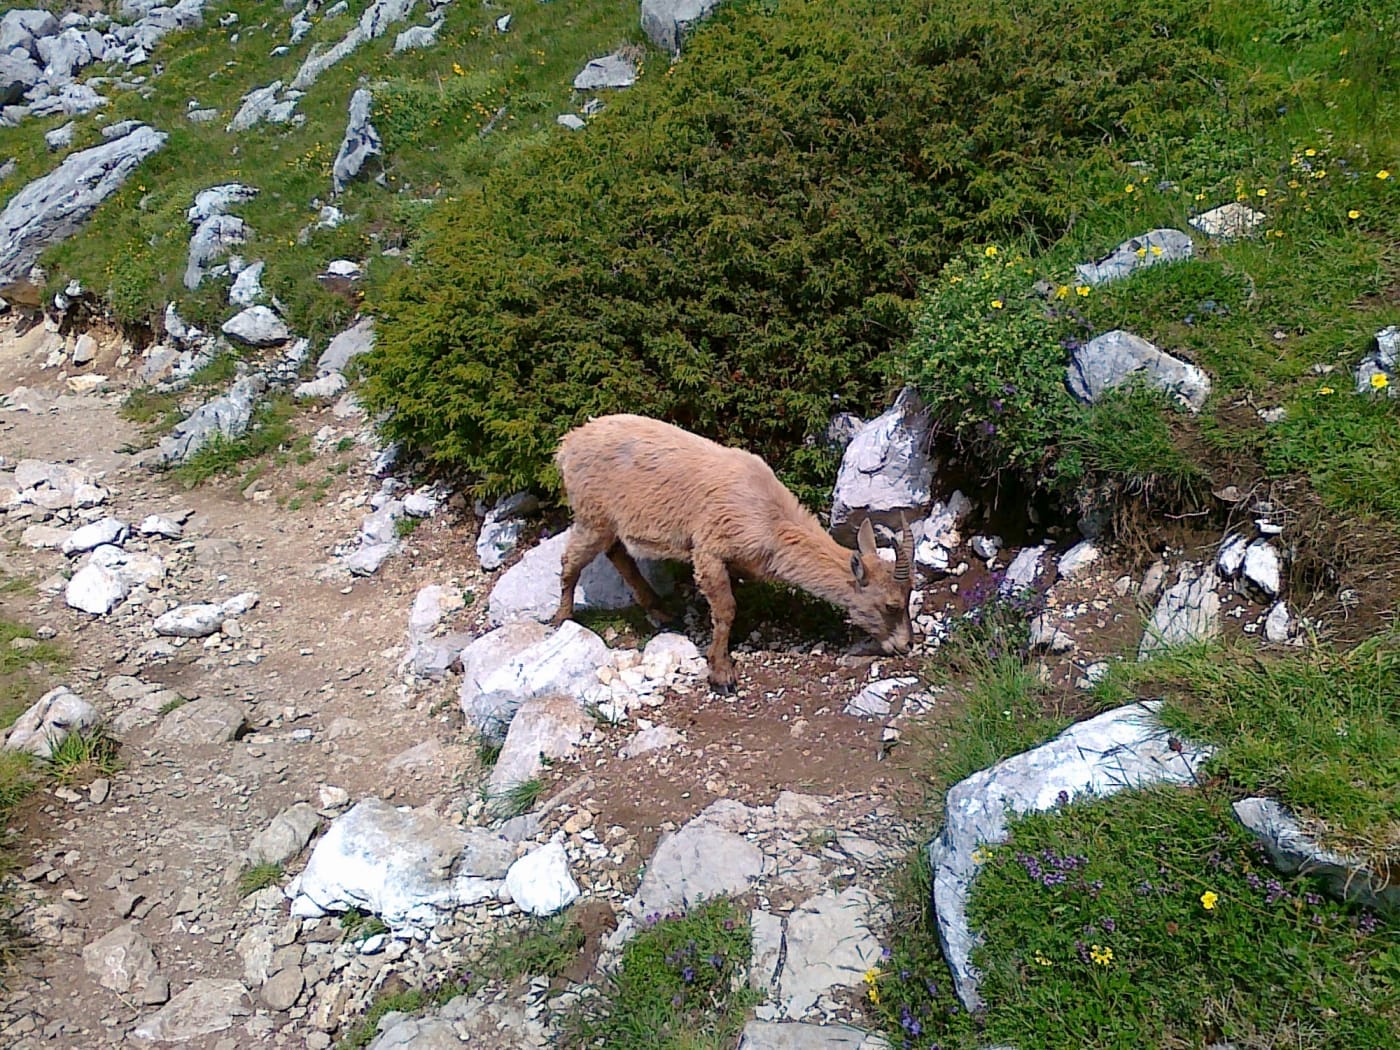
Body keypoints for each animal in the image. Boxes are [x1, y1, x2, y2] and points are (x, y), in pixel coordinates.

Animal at [552, 414, 915, 692]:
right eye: (891, 604)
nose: (907, 645)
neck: (769, 517)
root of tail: (567, 445)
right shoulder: (709, 548)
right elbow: (726, 608)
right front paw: (721, 674)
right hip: (592, 515)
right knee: (572, 560)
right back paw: (562, 618)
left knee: (618, 553)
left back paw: (660, 612)